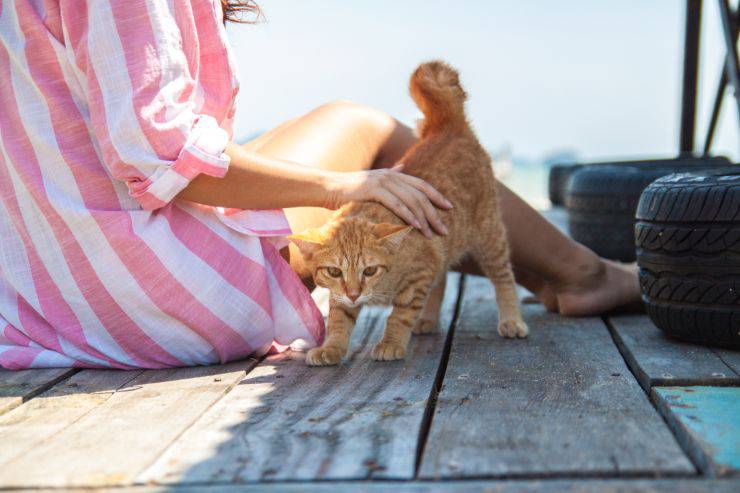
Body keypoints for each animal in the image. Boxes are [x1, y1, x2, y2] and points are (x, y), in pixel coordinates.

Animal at [290, 59, 528, 364]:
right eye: (333, 271)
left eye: (370, 270)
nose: (355, 294)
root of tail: (449, 127)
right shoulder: (342, 295)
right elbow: (339, 319)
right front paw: (332, 347)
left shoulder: (418, 276)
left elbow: (399, 316)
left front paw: (391, 343)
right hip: (445, 243)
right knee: (442, 277)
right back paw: (428, 319)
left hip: (489, 235)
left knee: (503, 277)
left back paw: (511, 319)